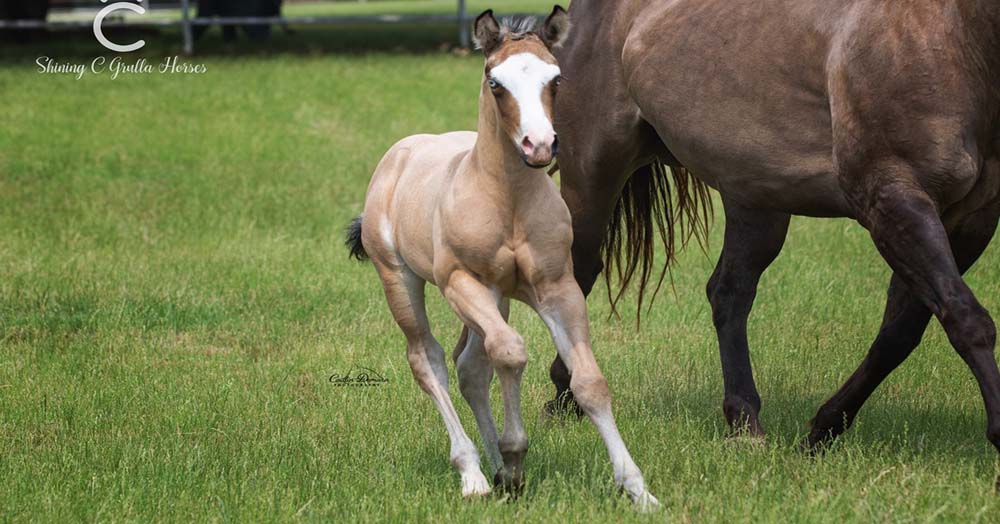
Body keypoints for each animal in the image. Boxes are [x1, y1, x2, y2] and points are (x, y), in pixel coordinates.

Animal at [348, 7, 660, 508]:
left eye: (556, 78)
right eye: (495, 81)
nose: (540, 145)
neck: (508, 202)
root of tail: (400, 153)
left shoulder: (557, 288)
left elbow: (588, 382)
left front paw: (637, 489)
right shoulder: (461, 281)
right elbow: (512, 354)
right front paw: (514, 460)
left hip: (497, 298)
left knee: (472, 368)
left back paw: (493, 465)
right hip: (401, 279)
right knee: (428, 359)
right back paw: (474, 472)